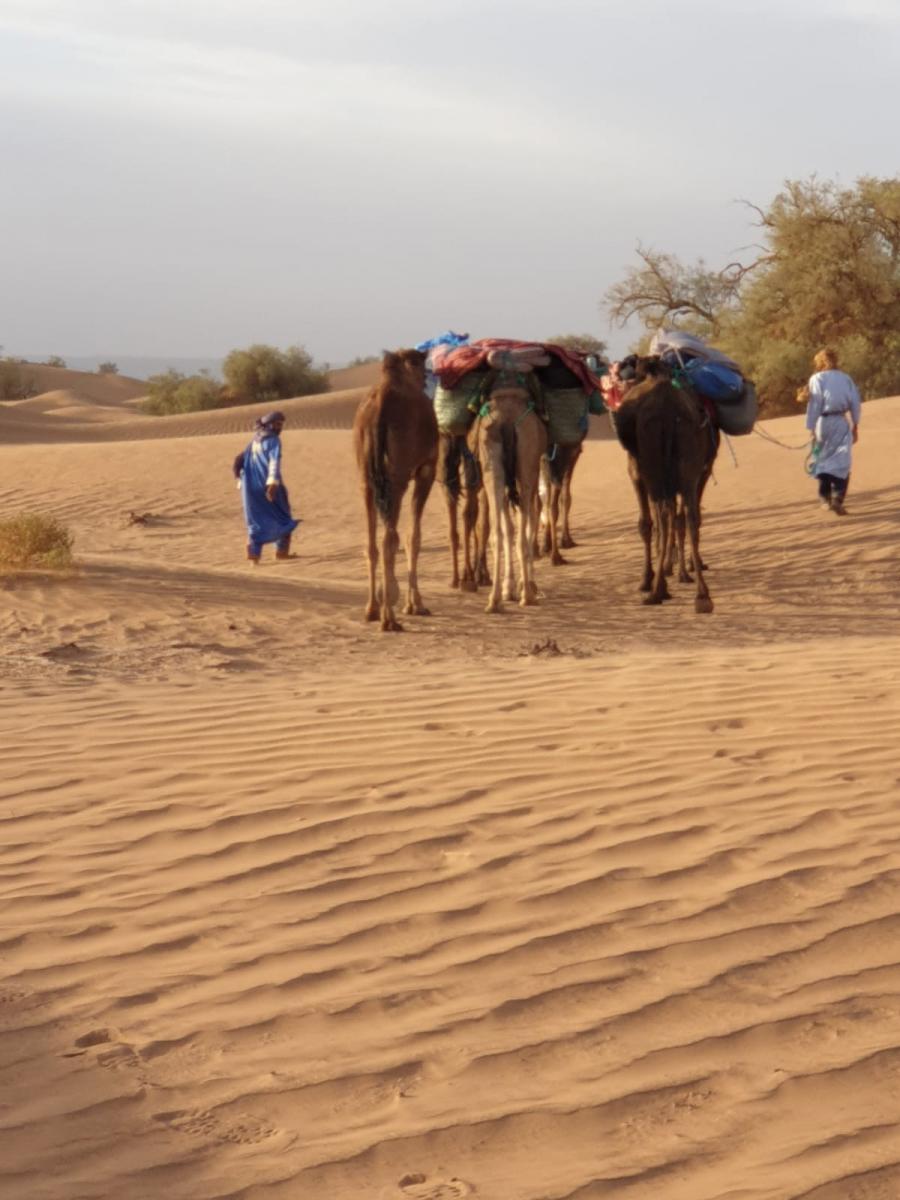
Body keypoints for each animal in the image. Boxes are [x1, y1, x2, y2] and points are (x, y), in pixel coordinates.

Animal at [355, 348, 439, 633]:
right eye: (422, 365)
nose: (426, 377)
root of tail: (381, 402)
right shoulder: (426, 471)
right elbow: (414, 537)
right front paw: (416, 604)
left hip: (367, 479)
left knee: (371, 543)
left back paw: (372, 609)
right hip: (398, 476)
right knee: (389, 539)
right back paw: (389, 617)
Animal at [468, 369, 547, 614]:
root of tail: (506, 419)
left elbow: (508, 527)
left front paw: (510, 587)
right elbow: (525, 524)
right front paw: (521, 585)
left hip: (491, 455)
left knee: (498, 530)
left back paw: (494, 600)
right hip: (526, 461)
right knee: (521, 528)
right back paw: (527, 595)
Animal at [614, 357, 720, 609]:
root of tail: (667, 407)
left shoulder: (636, 472)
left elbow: (647, 523)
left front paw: (647, 578)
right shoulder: (698, 471)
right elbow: (676, 518)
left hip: (659, 469)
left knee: (666, 516)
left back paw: (659, 589)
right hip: (687, 465)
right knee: (687, 516)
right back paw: (701, 594)